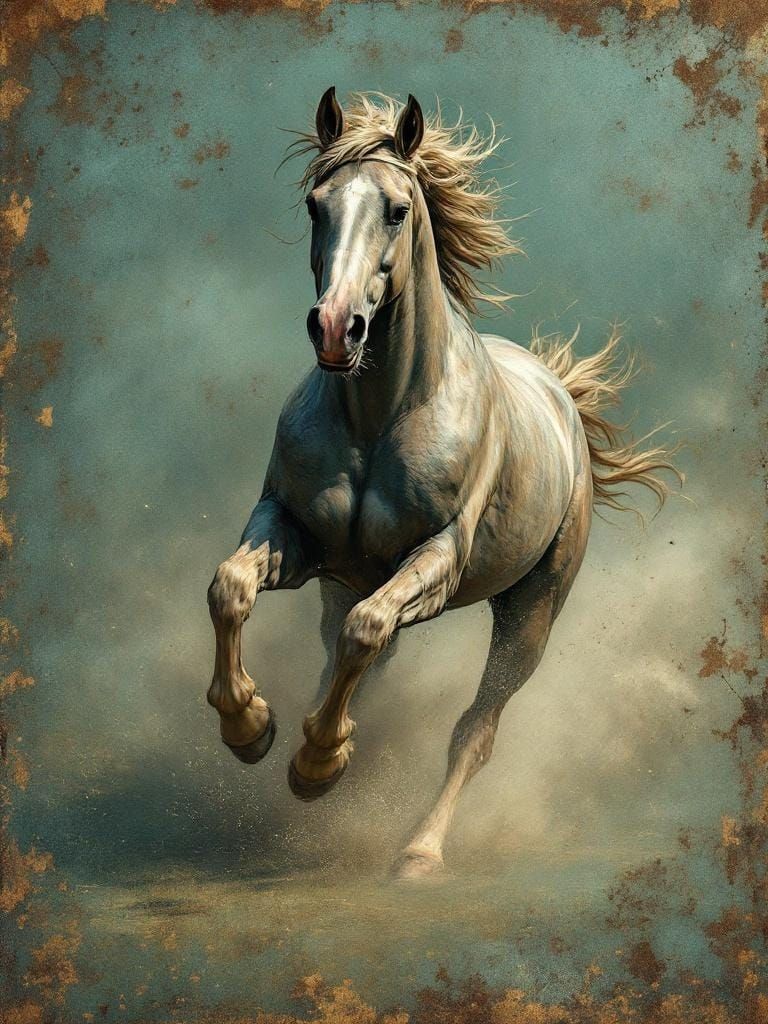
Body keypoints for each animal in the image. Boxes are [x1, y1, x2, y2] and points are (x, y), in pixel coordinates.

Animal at [206, 89, 677, 879]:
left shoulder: (437, 561)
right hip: (341, 583)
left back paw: (418, 850)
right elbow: (231, 587)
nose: (336, 327)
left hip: (531, 613)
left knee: (473, 730)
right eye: (315, 204)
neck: (379, 417)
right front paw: (251, 727)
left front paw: (317, 762)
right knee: (350, 659)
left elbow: (369, 631)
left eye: (397, 209)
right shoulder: (291, 532)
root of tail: (560, 394)